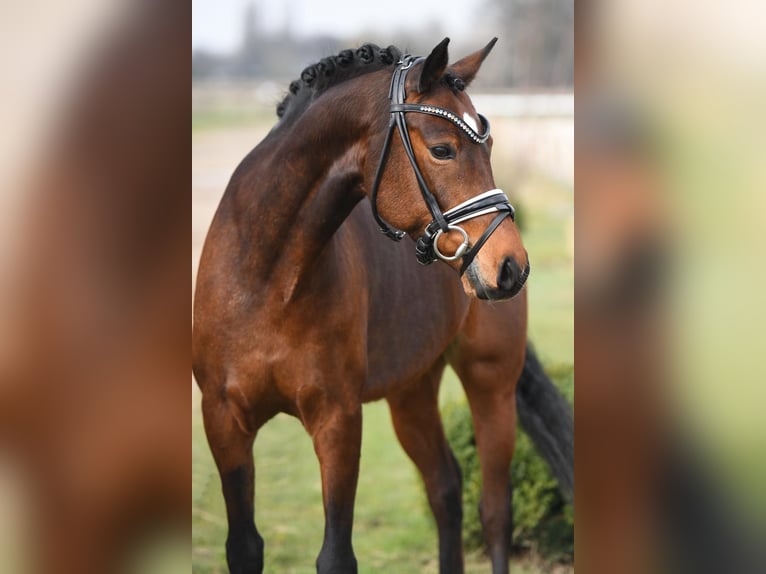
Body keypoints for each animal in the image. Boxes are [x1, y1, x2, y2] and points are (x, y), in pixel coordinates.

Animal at [192, 38, 536, 572]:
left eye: (490, 147)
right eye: (443, 149)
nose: (510, 266)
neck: (265, 278)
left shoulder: (337, 421)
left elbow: (336, 555)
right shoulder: (223, 419)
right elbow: (244, 547)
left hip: (491, 383)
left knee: (495, 510)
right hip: (412, 391)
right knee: (445, 486)